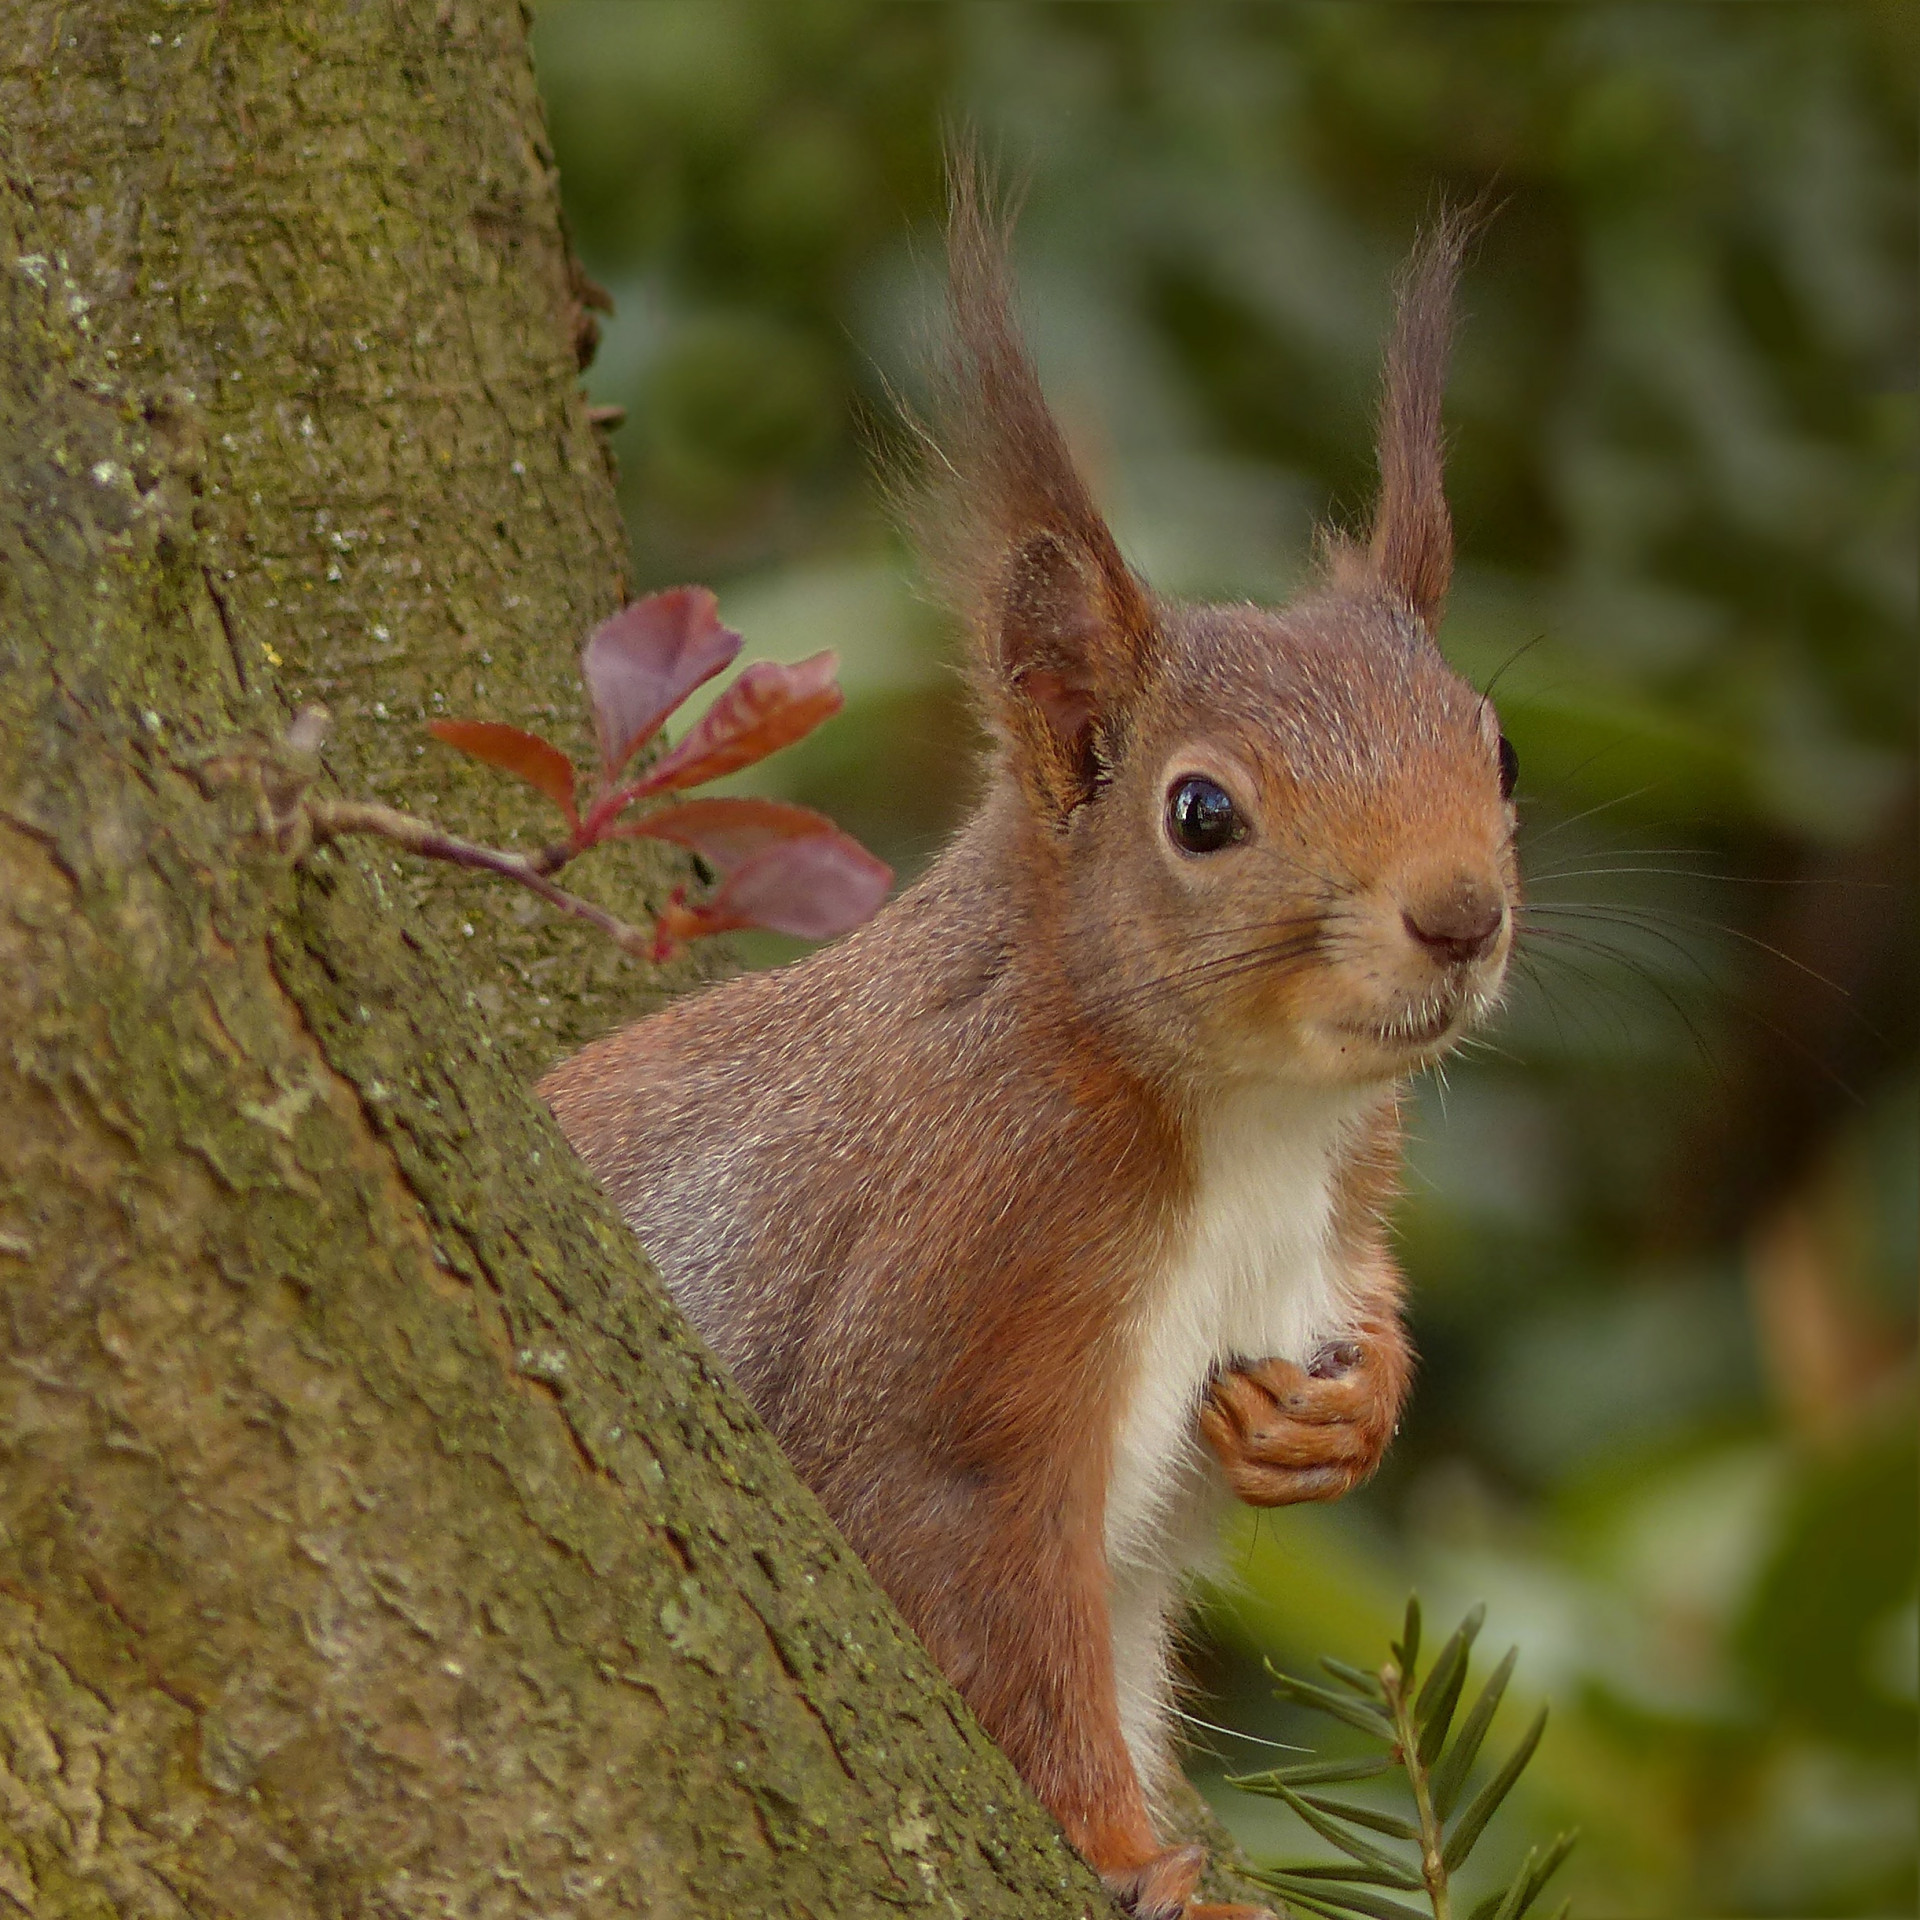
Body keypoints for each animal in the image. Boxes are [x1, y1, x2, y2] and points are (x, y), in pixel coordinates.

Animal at [541, 176, 1512, 1920]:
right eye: (1201, 813)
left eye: (1504, 750)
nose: (1463, 916)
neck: (1254, 1119)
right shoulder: (970, 1279)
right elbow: (978, 1604)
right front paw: (1139, 1861)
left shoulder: (1341, 1202)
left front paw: (1344, 1415)